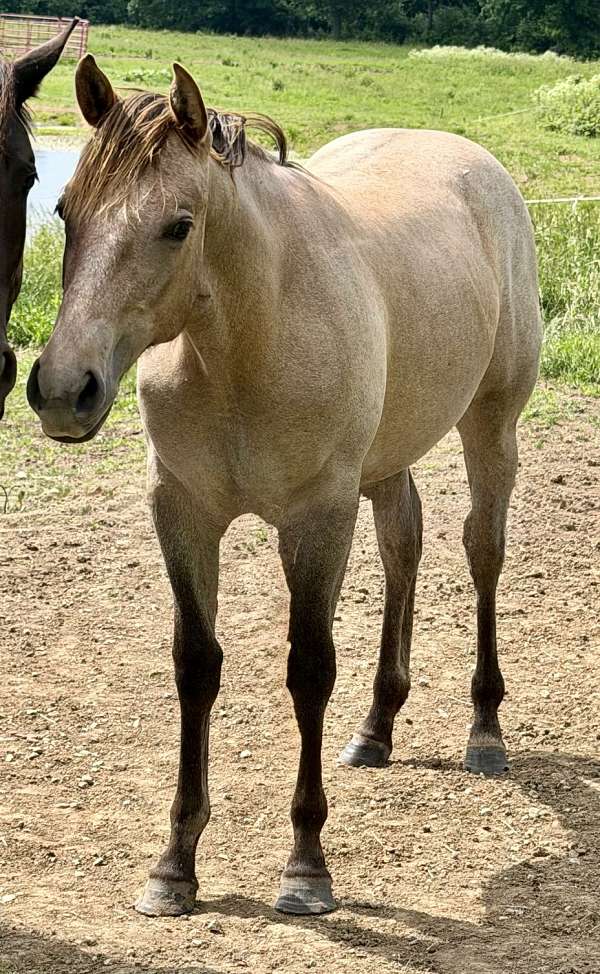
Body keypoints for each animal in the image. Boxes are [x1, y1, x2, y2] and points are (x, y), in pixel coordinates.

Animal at [27, 55, 542, 917]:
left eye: (178, 225)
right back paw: (377, 726)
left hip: (490, 425)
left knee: (483, 553)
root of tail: (484, 169)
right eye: (66, 211)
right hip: (386, 461)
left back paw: (485, 732)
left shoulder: (317, 517)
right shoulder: (183, 512)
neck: (248, 339)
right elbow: (196, 665)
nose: (65, 390)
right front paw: (174, 865)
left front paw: (305, 866)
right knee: (403, 547)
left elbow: (309, 669)